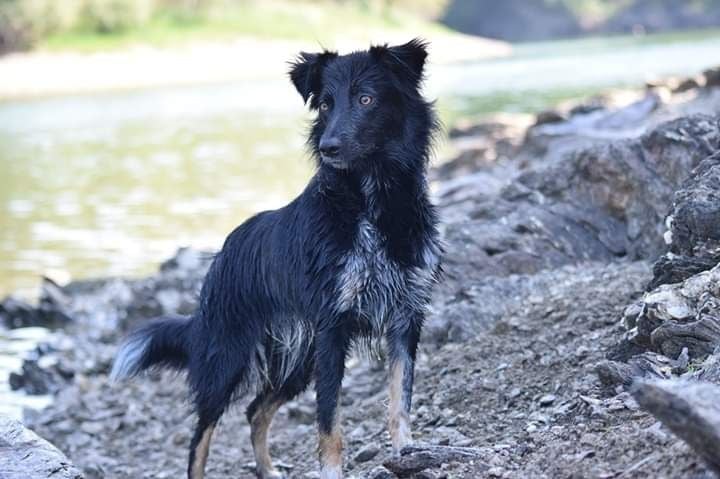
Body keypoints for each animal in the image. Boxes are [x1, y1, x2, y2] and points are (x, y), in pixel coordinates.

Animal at [110, 38, 442, 479]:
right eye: (325, 104)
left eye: (366, 99)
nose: (329, 148)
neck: (372, 198)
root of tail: (224, 252)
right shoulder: (333, 327)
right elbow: (330, 420)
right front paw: (332, 472)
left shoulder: (405, 317)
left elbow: (399, 399)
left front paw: (407, 453)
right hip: (228, 356)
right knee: (201, 436)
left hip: (297, 357)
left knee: (255, 411)